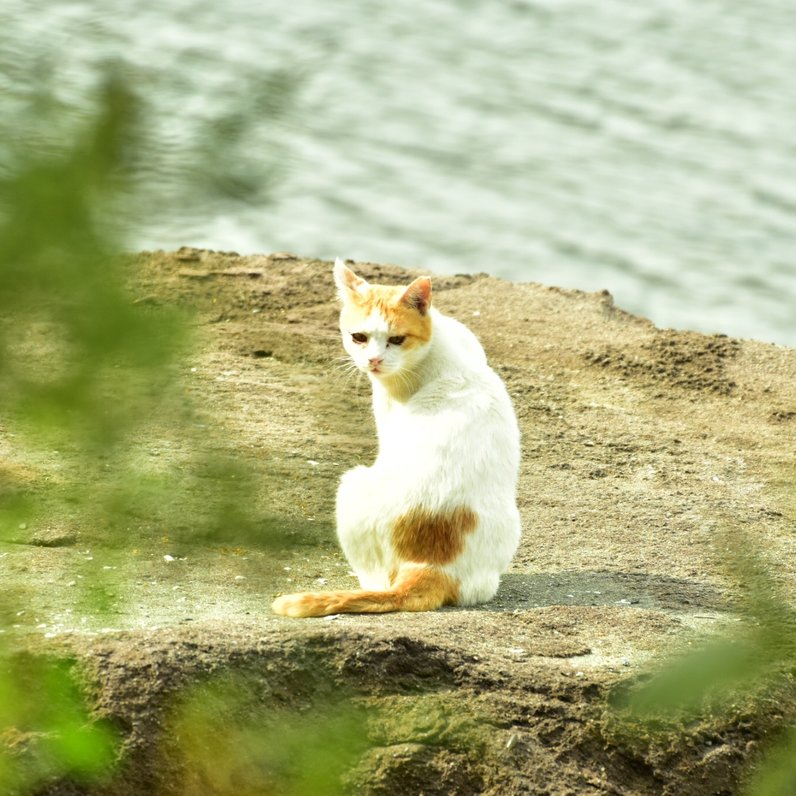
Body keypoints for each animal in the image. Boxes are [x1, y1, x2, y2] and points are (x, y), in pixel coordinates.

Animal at [272, 258, 524, 620]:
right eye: (359, 337)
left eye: (396, 339)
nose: (374, 360)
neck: (434, 348)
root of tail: (432, 567)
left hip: (352, 485)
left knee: (378, 583)